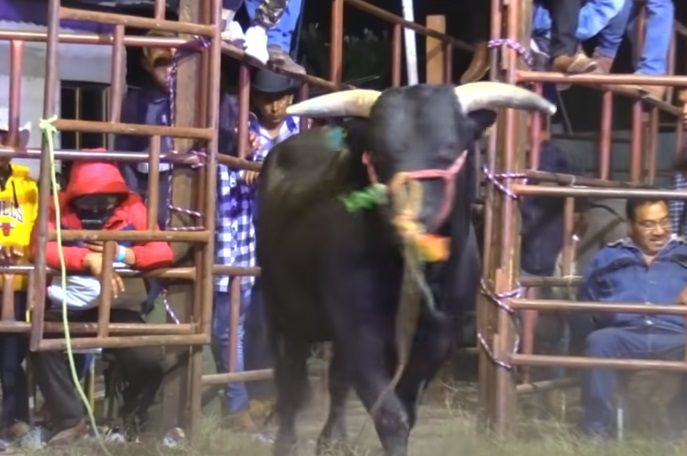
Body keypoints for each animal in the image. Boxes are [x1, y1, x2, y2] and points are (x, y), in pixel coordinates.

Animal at [255, 83, 556, 456]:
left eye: (448, 150)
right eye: (380, 156)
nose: (409, 221)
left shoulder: (437, 338)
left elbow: (406, 409)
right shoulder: (360, 330)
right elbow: (389, 413)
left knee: (334, 381)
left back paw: (332, 441)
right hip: (282, 311)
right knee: (290, 383)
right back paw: (287, 442)